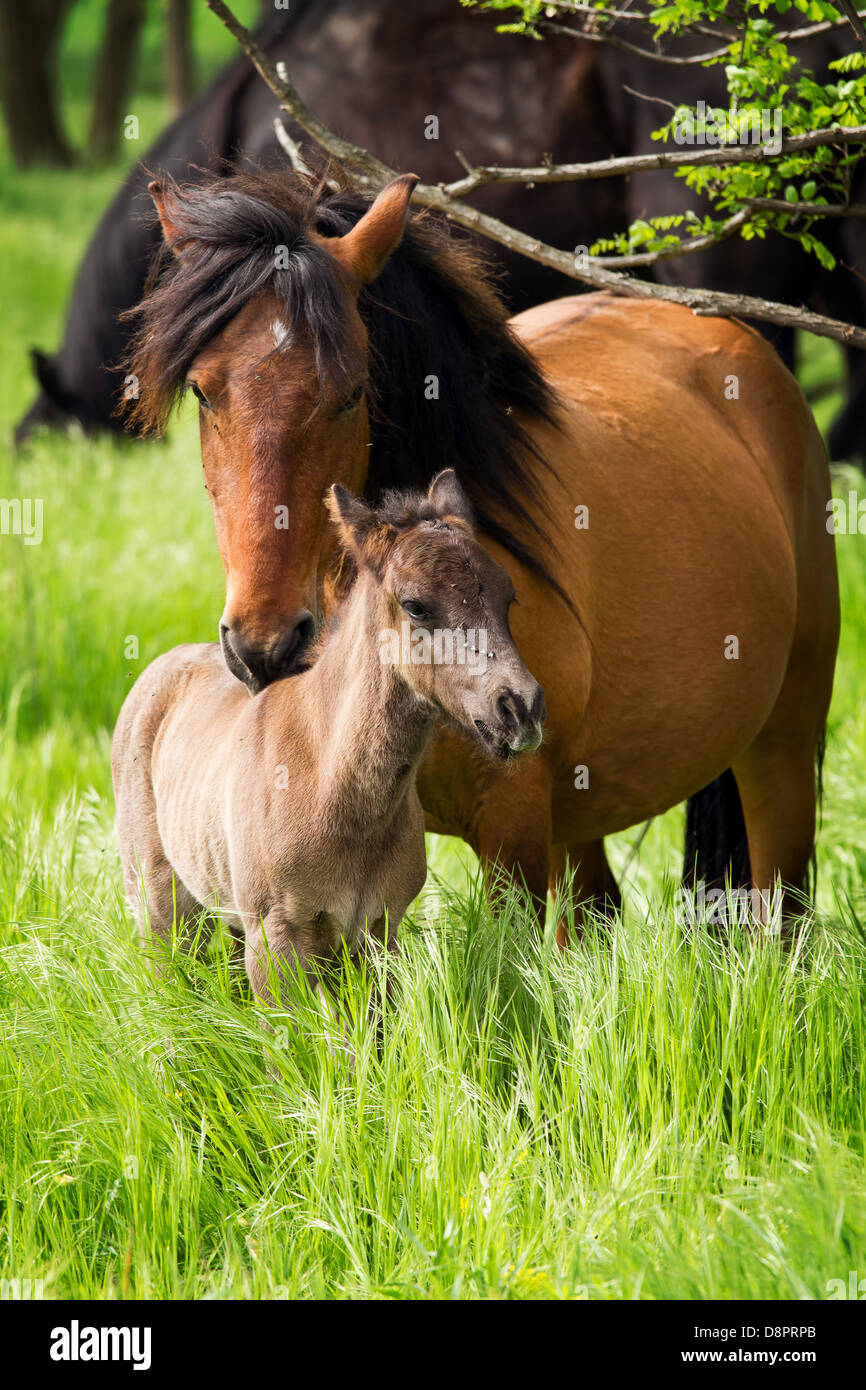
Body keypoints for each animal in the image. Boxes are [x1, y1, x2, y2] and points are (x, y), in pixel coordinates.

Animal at [108, 469, 542, 1011]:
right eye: (416, 606)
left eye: (509, 597)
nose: (521, 708)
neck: (330, 784)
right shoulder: (274, 935)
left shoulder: (377, 930)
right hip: (160, 903)